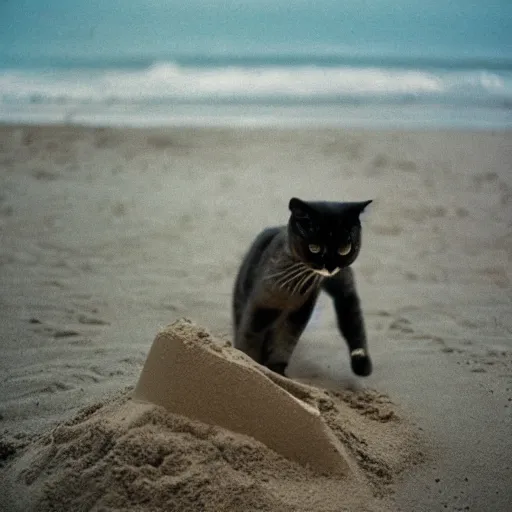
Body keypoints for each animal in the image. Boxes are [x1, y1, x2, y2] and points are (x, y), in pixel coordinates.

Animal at [232, 198, 372, 378]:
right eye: (314, 248)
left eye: (344, 249)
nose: (330, 267)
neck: (292, 290)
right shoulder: (260, 309)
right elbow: (248, 342)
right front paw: (250, 365)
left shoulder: (298, 314)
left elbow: (284, 344)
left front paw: (277, 372)